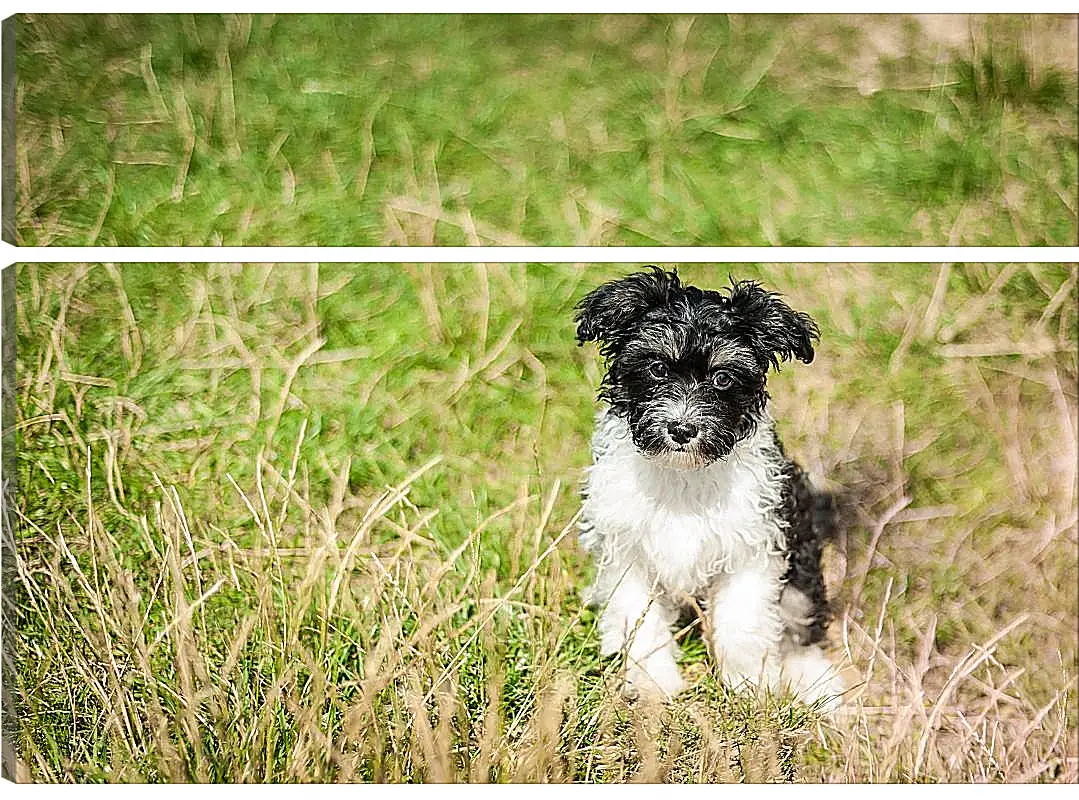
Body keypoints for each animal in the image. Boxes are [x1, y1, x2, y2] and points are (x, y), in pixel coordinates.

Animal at [578, 268, 845, 703]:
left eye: (722, 378)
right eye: (657, 368)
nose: (682, 430)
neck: (684, 474)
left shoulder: (754, 547)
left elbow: (743, 626)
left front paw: (751, 689)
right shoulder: (627, 551)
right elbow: (641, 622)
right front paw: (654, 685)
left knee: (799, 621)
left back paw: (816, 684)